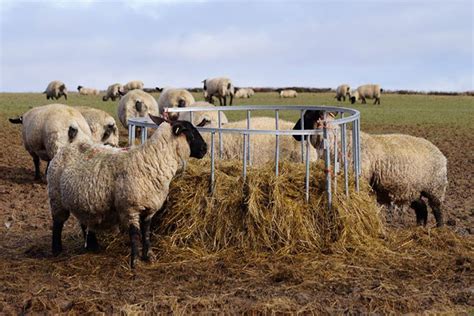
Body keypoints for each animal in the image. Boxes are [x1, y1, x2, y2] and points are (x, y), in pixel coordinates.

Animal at [47, 115, 207, 268]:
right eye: (190, 131)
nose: (205, 148)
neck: (151, 161)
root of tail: (66, 148)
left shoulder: (150, 209)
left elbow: (146, 233)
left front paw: (149, 256)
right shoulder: (131, 208)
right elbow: (135, 234)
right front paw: (135, 261)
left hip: (82, 200)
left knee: (85, 221)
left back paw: (92, 246)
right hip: (56, 197)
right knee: (58, 223)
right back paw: (57, 250)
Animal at [294, 110, 446, 226]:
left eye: (307, 116)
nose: (294, 134)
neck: (336, 143)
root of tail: (440, 153)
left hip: (435, 187)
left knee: (437, 209)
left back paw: (440, 228)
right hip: (412, 189)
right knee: (422, 207)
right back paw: (420, 228)